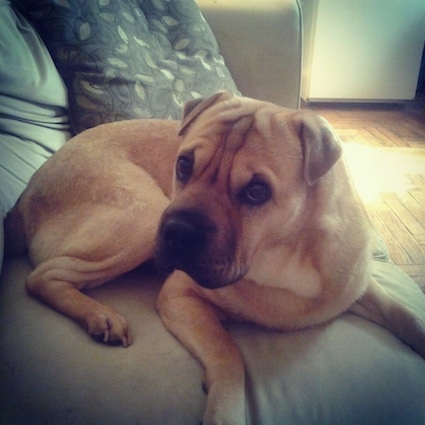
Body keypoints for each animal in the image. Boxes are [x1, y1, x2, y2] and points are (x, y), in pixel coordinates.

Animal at [4, 92, 424, 424]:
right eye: (183, 165)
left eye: (257, 191)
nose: (177, 231)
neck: (284, 258)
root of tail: (24, 196)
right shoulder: (180, 298)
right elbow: (229, 355)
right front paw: (226, 409)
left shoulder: (359, 287)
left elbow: (402, 312)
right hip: (143, 215)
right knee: (43, 277)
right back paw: (99, 315)